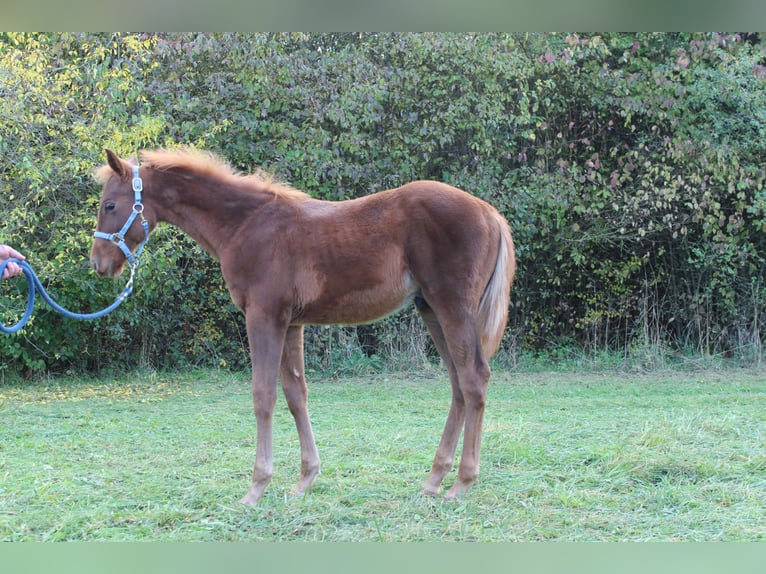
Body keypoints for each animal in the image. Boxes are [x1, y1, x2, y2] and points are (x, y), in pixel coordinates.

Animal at [90, 148, 515, 505]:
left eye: (110, 204)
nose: (98, 263)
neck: (245, 224)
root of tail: (489, 212)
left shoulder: (263, 316)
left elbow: (263, 395)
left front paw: (256, 488)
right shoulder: (291, 323)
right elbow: (296, 394)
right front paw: (304, 480)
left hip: (453, 306)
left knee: (474, 377)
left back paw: (461, 483)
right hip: (431, 309)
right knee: (458, 383)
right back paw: (434, 480)